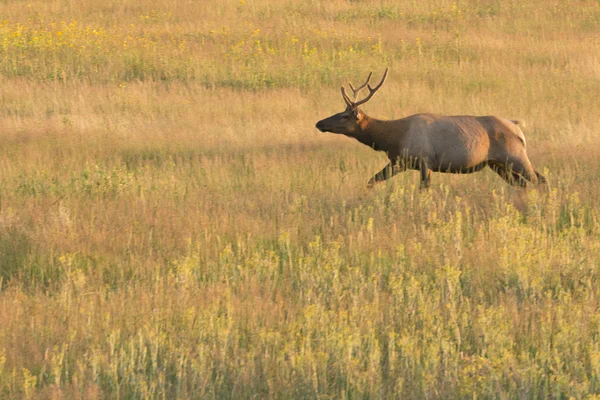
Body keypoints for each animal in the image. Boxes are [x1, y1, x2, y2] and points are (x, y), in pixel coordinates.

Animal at [316, 68, 548, 188]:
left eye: (345, 116)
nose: (319, 123)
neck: (393, 138)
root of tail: (518, 128)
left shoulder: (424, 160)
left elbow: (423, 188)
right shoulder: (400, 161)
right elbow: (372, 180)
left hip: (516, 156)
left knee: (540, 179)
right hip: (497, 163)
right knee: (522, 184)